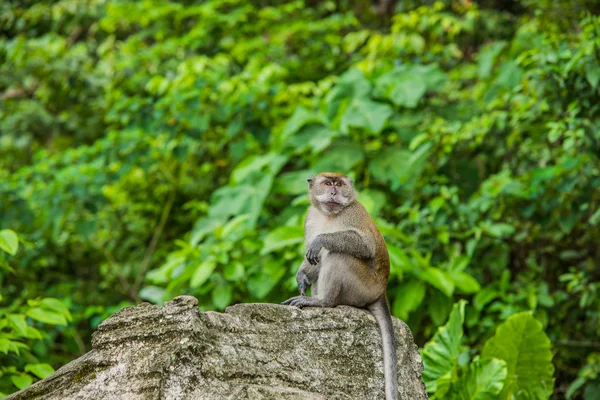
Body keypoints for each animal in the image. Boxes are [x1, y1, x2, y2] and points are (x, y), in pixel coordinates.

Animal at [282, 172, 398, 400]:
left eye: (340, 184)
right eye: (328, 183)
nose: (334, 192)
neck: (328, 215)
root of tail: (381, 291)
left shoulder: (352, 213)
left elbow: (364, 245)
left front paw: (320, 240)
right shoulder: (310, 218)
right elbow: (312, 259)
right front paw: (302, 277)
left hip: (363, 288)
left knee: (339, 255)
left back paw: (323, 302)